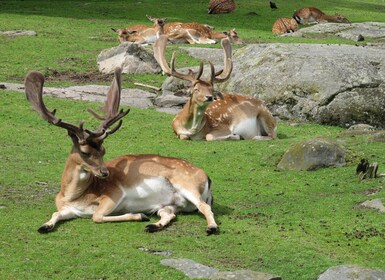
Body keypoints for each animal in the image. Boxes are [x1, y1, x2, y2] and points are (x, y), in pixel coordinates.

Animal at [25, 67, 218, 234]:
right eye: (85, 152)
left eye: (103, 150)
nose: (104, 173)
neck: (72, 196)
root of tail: (207, 178)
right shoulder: (68, 209)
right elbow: (56, 213)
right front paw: (44, 226)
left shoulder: (113, 193)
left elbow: (96, 216)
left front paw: (138, 215)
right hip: (171, 204)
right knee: (169, 214)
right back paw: (153, 226)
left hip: (187, 184)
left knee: (204, 206)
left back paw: (211, 227)